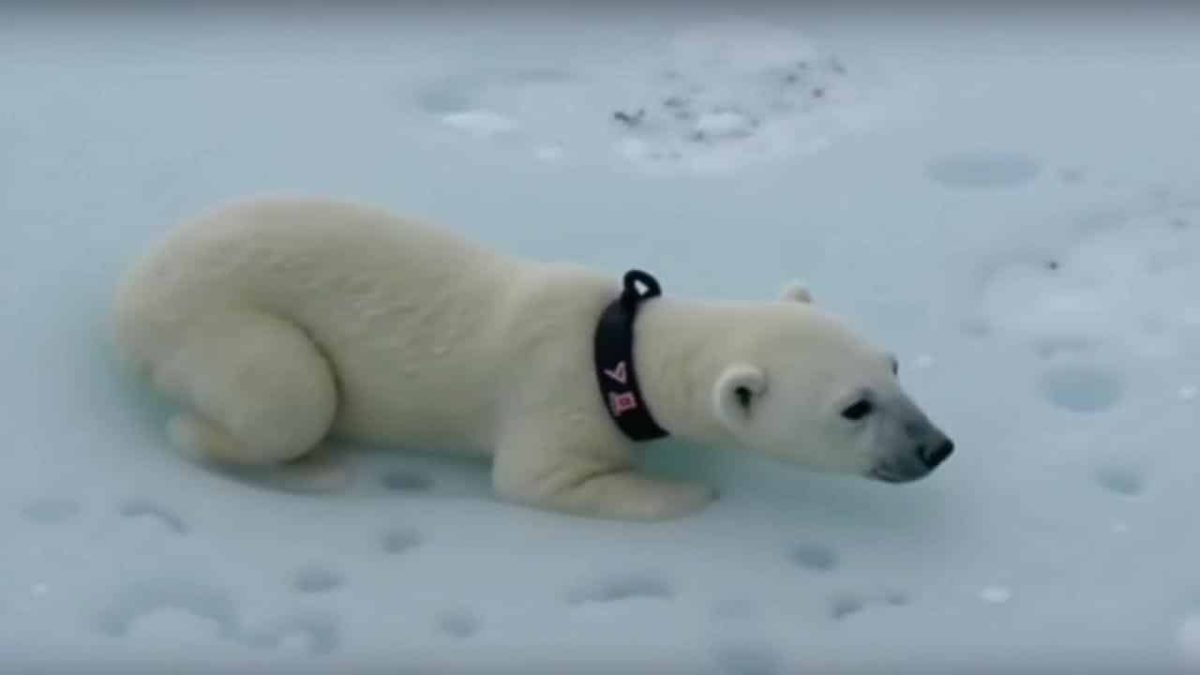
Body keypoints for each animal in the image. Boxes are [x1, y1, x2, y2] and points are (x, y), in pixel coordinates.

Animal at [112, 196, 954, 521]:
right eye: (854, 407)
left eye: (894, 366)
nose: (936, 446)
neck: (617, 350)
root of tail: (130, 294)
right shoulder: (556, 404)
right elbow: (535, 480)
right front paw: (686, 492)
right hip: (217, 317)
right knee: (284, 397)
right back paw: (313, 467)